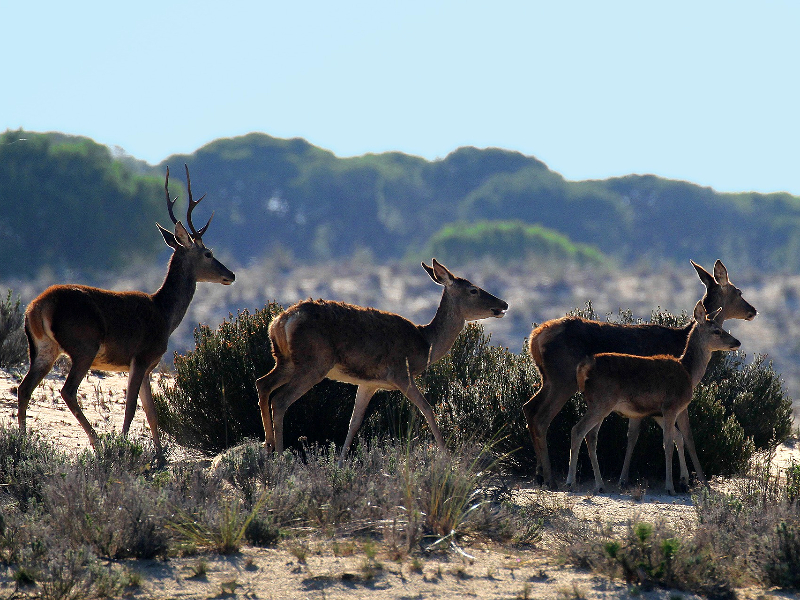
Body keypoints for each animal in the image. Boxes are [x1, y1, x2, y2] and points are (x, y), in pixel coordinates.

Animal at [16, 166, 234, 452]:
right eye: (208, 253)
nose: (231, 275)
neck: (164, 314)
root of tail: (37, 307)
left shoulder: (148, 365)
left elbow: (152, 412)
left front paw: (160, 455)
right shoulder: (141, 356)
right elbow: (132, 409)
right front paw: (126, 446)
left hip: (43, 348)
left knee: (24, 388)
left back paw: (22, 442)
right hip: (84, 345)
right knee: (67, 390)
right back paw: (98, 443)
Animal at [256, 258, 506, 464]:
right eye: (473, 290)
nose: (503, 304)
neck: (425, 344)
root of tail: (280, 320)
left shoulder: (369, 383)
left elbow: (354, 421)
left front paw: (340, 463)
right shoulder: (401, 373)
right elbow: (427, 409)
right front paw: (447, 457)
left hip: (286, 361)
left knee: (263, 383)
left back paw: (267, 447)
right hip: (313, 363)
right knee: (280, 399)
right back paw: (280, 457)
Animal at [564, 302, 740, 494]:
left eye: (722, 327)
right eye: (717, 331)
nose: (737, 342)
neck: (688, 372)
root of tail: (584, 367)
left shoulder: (667, 411)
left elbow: (684, 438)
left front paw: (691, 481)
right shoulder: (671, 406)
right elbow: (669, 443)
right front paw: (671, 487)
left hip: (598, 404)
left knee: (591, 436)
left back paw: (600, 484)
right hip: (601, 402)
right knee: (578, 430)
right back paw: (570, 482)